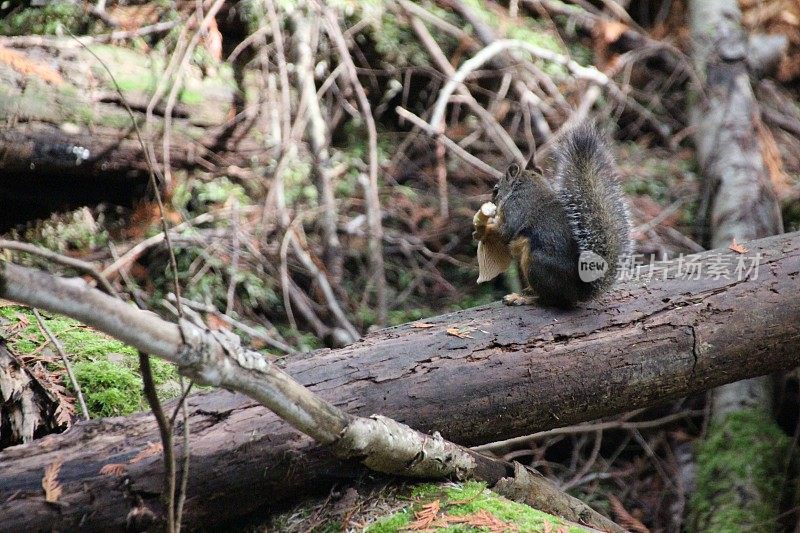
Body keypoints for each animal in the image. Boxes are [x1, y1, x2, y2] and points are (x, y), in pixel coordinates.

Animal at [468, 123, 632, 308]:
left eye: (496, 190)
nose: (491, 200)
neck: (527, 185)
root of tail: (577, 293)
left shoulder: (515, 208)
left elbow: (505, 232)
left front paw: (482, 230)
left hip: (535, 263)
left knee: (549, 300)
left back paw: (522, 298)